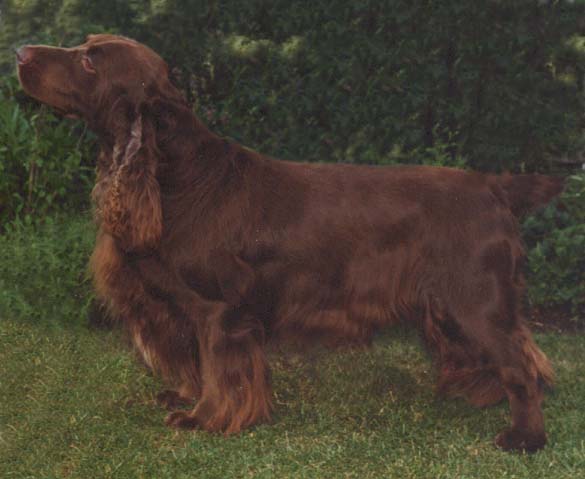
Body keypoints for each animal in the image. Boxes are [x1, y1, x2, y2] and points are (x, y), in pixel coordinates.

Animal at [17, 34, 560, 454]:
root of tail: (494, 186)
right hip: (451, 303)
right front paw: (184, 397)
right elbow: (195, 360)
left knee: (521, 364)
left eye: (91, 60)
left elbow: (217, 366)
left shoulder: (219, 308)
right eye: (84, 45)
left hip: (475, 298)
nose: (19, 51)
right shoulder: (183, 306)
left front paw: (204, 418)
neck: (174, 176)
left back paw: (524, 438)